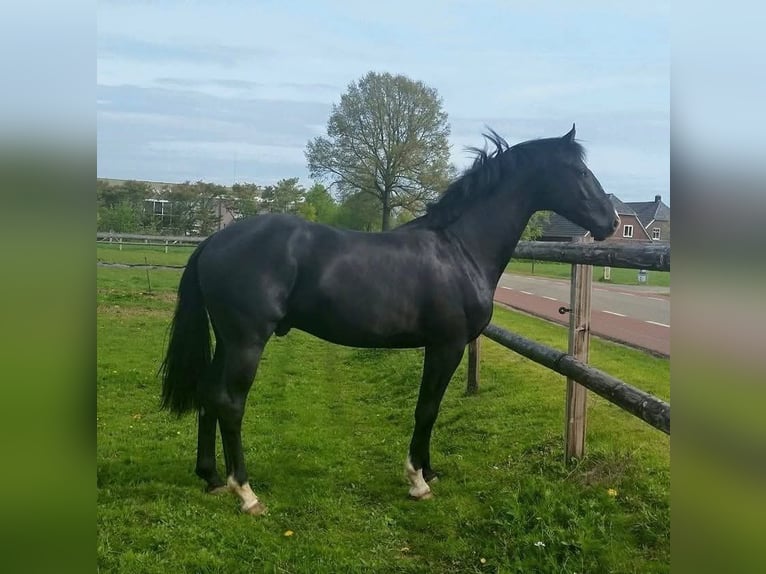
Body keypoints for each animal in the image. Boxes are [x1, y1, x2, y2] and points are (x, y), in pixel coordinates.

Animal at [160, 125, 620, 515]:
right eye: (580, 171)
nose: (612, 222)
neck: (459, 248)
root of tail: (214, 241)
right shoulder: (446, 345)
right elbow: (427, 408)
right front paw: (417, 480)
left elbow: (431, 408)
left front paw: (429, 470)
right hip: (247, 342)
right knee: (230, 403)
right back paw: (245, 492)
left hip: (227, 341)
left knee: (208, 393)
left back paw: (211, 477)